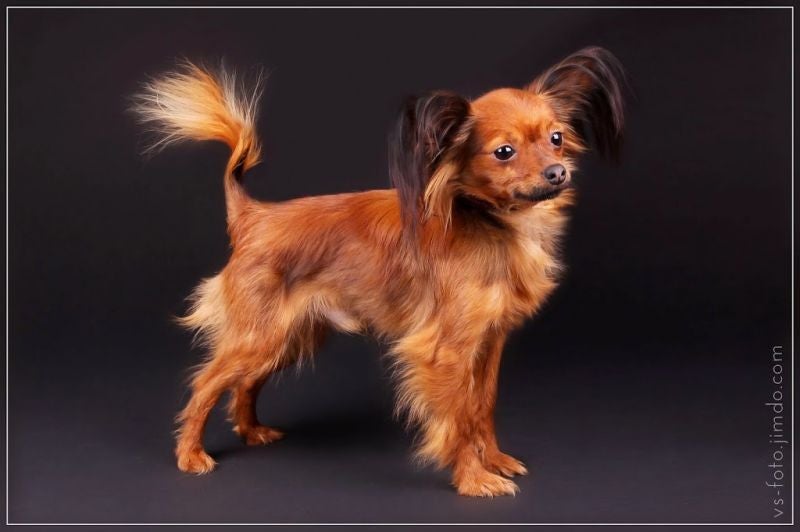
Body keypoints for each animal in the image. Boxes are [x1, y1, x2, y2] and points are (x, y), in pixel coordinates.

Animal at [132, 46, 625, 497]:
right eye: (504, 152)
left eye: (556, 138)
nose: (557, 172)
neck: (490, 222)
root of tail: (253, 216)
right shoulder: (446, 352)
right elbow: (457, 417)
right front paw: (473, 478)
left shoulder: (488, 342)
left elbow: (481, 406)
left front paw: (495, 459)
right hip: (260, 336)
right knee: (206, 384)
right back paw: (190, 454)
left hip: (287, 337)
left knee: (244, 383)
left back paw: (252, 431)